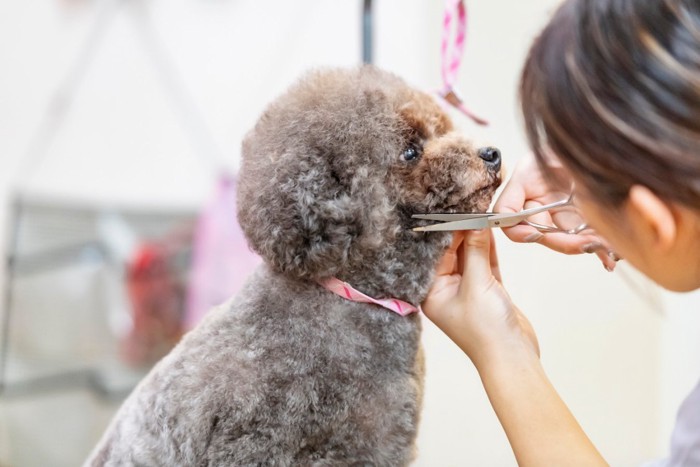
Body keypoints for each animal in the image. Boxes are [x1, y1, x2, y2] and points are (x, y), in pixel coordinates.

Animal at [86, 66, 504, 467]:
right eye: (411, 151)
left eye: (443, 130)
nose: (492, 153)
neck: (356, 299)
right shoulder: (252, 444)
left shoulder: (381, 443)